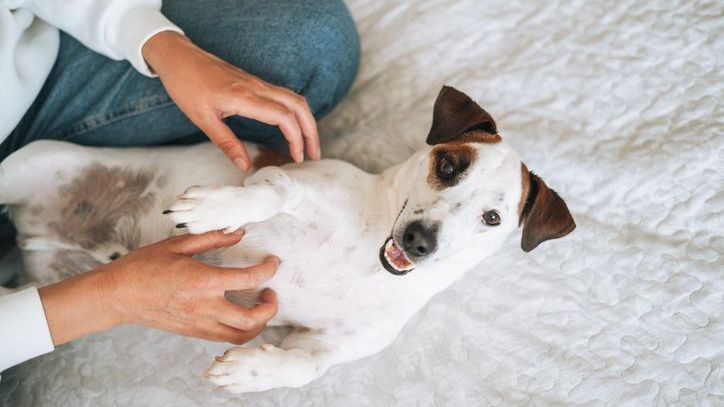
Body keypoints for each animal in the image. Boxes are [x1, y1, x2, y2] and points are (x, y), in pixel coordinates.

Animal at [0, 87, 576, 396]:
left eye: (492, 217)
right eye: (449, 165)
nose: (419, 242)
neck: (365, 259)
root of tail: (32, 235)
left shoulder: (329, 345)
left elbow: (305, 367)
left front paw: (252, 370)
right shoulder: (292, 182)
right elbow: (270, 192)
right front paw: (212, 209)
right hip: (27, 163)